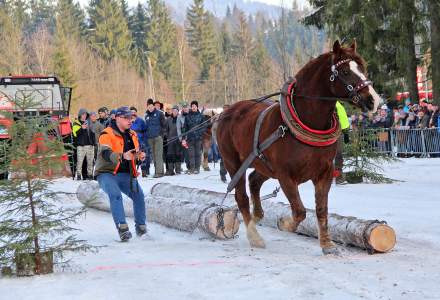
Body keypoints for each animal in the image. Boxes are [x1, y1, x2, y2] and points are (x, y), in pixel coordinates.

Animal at [217, 41, 382, 254]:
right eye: (345, 71)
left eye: (362, 67)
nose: (374, 100)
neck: (307, 120)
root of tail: (226, 112)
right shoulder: (286, 176)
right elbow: (300, 211)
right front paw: (284, 223)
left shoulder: (324, 172)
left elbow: (321, 209)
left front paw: (327, 244)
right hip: (234, 163)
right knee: (241, 196)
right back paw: (254, 236)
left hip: (263, 165)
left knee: (254, 181)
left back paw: (257, 216)